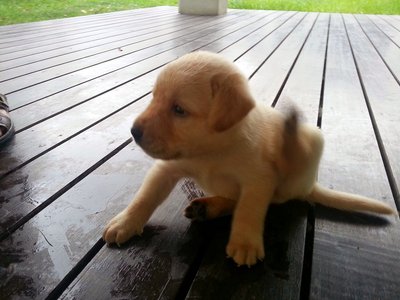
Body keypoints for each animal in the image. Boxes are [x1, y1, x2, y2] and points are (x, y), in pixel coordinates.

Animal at [102, 50, 394, 266]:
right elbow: (144, 197)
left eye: (179, 110)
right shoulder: (166, 169)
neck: (210, 151)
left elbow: (249, 210)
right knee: (234, 198)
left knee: (279, 188)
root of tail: (310, 186)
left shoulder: (258, 180)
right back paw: (209, 206)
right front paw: (125, 222)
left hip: (312, 143)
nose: (134, 132)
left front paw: (244, 242)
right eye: (154, 97)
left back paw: (289, 139)